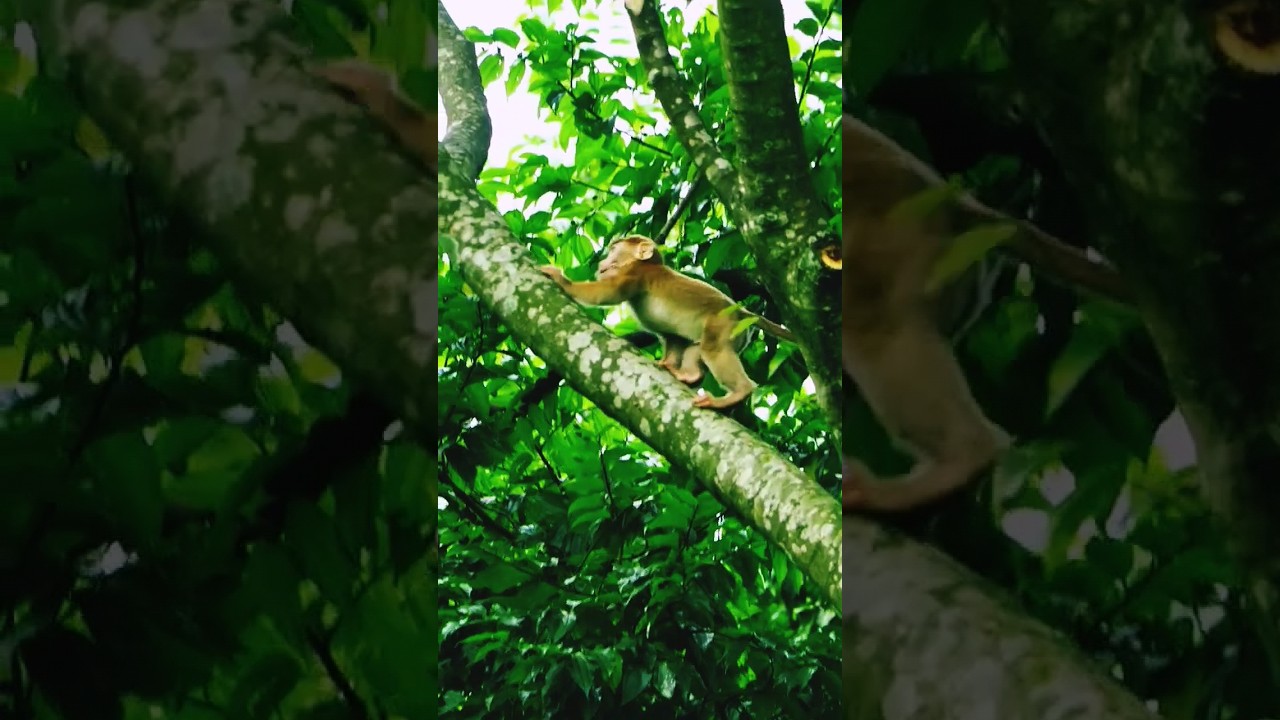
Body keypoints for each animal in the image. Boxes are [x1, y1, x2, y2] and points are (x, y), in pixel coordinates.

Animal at [539, 235, 795, 410]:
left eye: (614, 250)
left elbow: (607, 293)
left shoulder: (635, 274)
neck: (646, 264)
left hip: (723, 323)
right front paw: (668, 360)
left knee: (713, 348)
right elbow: (674, 338)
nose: (602, 261)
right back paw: (689, 375)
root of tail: (744, 313)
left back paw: (739, 392)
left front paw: (563, 281)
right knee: (696, 349)